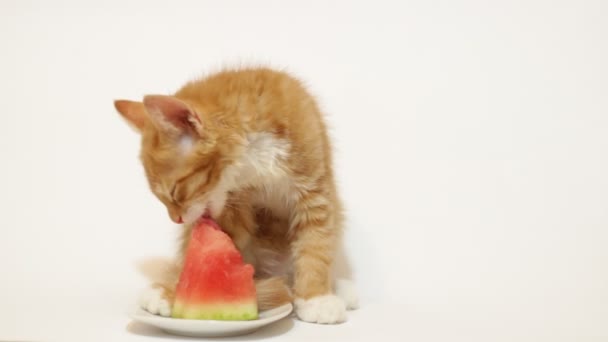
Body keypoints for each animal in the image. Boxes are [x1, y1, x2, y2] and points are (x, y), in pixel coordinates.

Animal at [114, 67, 356, 324]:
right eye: (161, 198)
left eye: (174, 192)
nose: (176, 219)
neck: (255, 159)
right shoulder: (233, 206)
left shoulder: (315, 189)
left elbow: (316, 245)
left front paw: (316, 299)